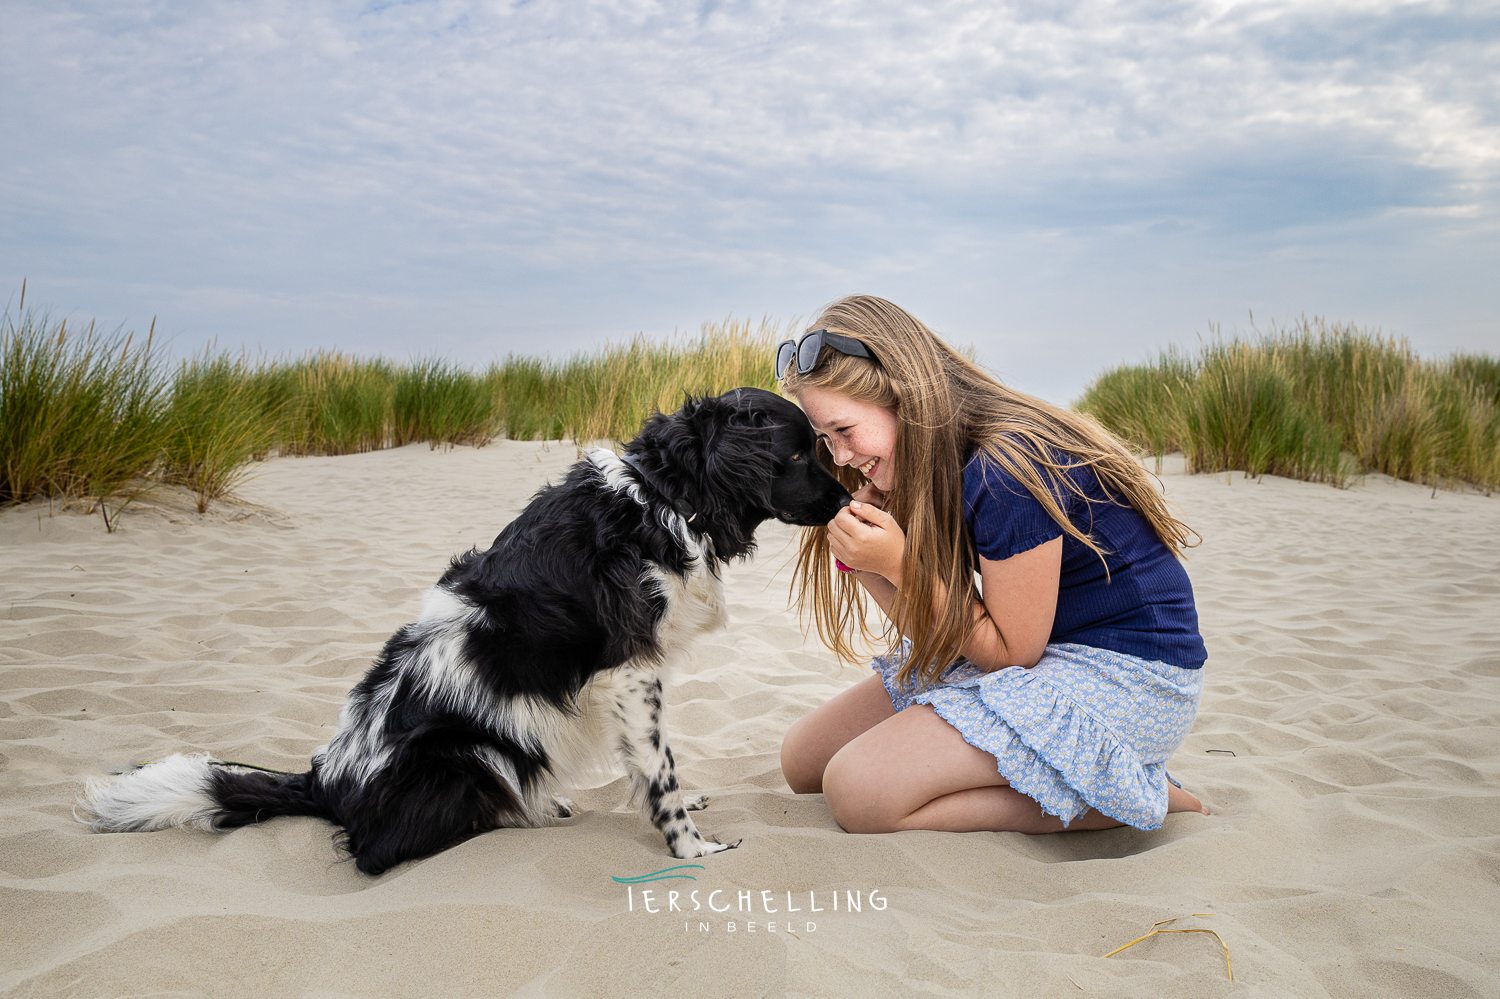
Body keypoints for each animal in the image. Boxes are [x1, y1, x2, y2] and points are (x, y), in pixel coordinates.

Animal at [82, 387, 852, 870]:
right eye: (799, 454)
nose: (850, 496)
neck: (663, 492)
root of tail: (326, 780)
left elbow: (652, 762)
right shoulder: (631, 671)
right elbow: (658, 770)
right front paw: (691, 848)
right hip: (465, 754)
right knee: (380, 850)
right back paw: (519, 814)